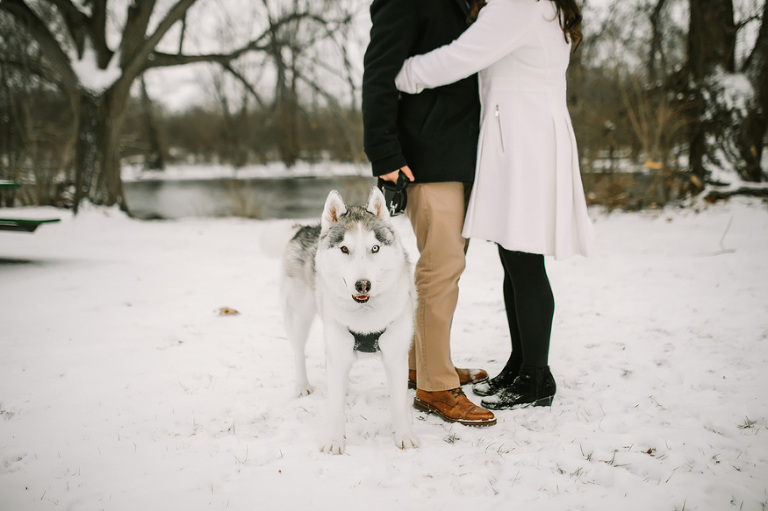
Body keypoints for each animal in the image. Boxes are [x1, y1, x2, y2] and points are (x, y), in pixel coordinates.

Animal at [280, 188, 416, 456]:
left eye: (375, 248)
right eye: (344, 249)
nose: (363, 285)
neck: (365, 314)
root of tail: (308, 228)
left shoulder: (396, 355)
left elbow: (398, 403)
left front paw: (403, 436)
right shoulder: (338, 348)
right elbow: (335, 408)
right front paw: (335, 440)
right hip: (299, 315)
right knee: (298, 349)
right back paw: (302, 384)